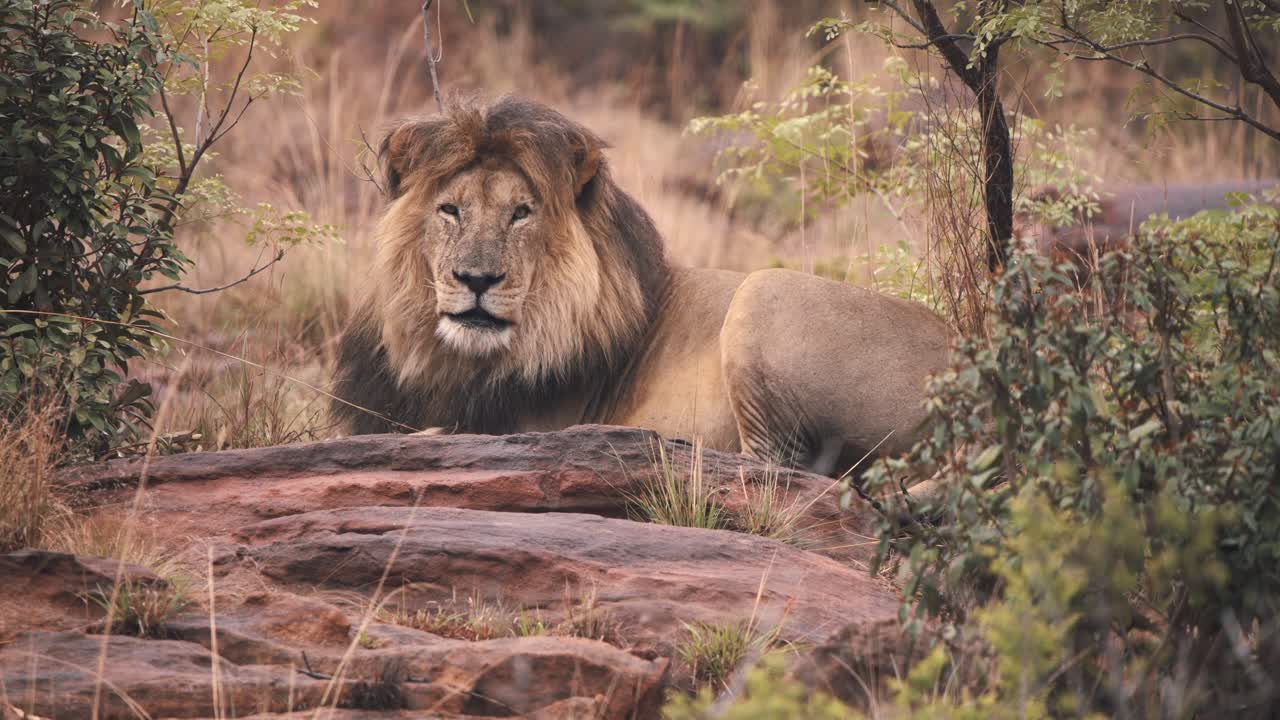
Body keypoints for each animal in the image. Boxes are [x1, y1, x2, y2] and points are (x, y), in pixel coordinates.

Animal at [332, 97, 952, 475]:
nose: (477, 279)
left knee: (773, 466)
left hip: (764, 292)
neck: (454, 359)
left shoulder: (530, 424)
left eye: (522, 213)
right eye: (450, 210)